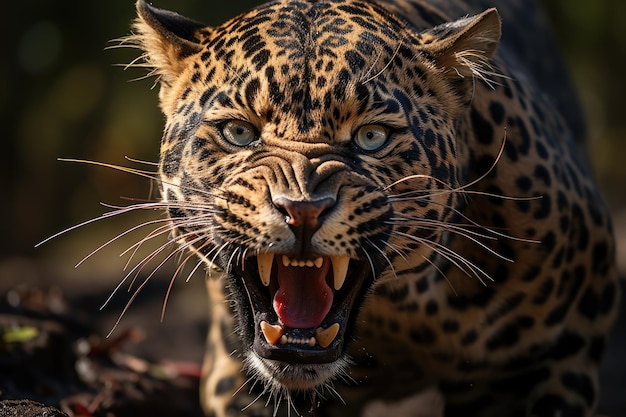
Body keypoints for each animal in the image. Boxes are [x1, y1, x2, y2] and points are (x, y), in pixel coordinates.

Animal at [124, 0, 616, 414]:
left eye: (372, 137)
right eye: (239, 133)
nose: (302, 210)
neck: (399, 311)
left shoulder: (547, 365)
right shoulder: (238, 381)